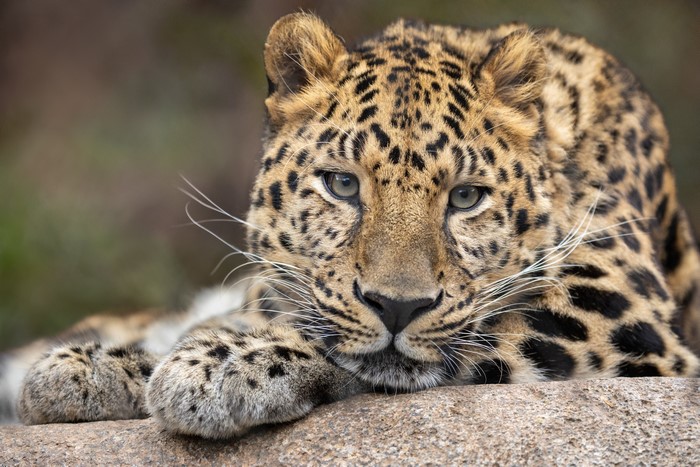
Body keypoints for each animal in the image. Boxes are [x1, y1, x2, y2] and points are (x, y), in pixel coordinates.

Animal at [1, 13, 699, 439]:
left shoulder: (618, 306)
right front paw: (99, 366)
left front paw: (217, 367)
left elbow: (447, 339)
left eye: (466, 197)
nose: (397, 306)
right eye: (342, 185)